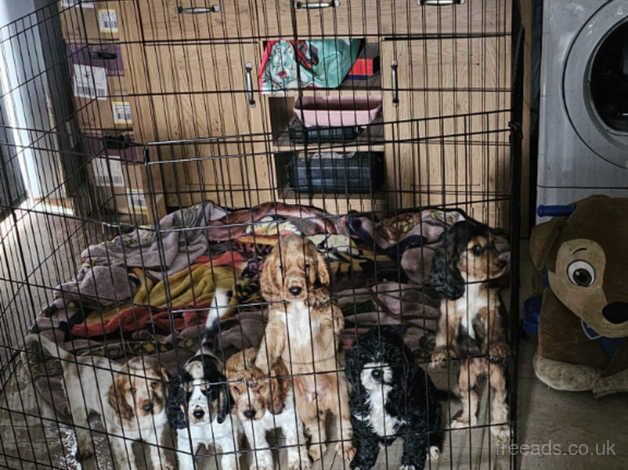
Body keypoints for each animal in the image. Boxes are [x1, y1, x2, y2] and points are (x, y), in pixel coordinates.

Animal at [27, 332, 172, 468]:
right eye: (132, 390)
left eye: (154, 384)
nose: (148, 407)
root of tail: (74, 359)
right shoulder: (121, 440)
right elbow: (127, 460)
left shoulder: (156, 431)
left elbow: (157, 453)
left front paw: (163, 466)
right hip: (78, 406)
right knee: (81, 430)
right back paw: (85, 449)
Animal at [254, 235, 354, 462]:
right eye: (282, 268)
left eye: (307, 266)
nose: (295, 290)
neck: (297, 306)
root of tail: (319, 398)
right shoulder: (276, 327)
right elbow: (266, 349)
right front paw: (258, 371)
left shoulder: (332, 322)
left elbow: (330, 306)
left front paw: (318, 294)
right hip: (304, 407)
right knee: (316, 426)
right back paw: (316, 450)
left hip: (341, 398)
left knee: (344, 423)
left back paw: (346, 448)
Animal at [346, 326, 444, 470]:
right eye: (363, 357)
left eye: (391, 358)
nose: (376, 372)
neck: (380, 392)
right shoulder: (361, 415)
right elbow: (365, 442)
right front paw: (361, 463)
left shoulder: (415, 418)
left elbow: (413, 442)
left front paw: (409, 464)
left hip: (434, 410)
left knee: (434, 430)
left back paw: (431, 447)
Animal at [426, 220, 510, 440]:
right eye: (477, 249)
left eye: (493, 243)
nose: (503, 263)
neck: (471, 284)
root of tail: (481, 369)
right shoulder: (448, 313)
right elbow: (443, 333)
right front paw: (440, 354)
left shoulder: (491, 309)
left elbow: (495, 328)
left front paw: (496, 346)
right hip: (464, 378)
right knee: (471, 397)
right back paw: (464, 421)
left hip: (498, 376)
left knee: (499, 400)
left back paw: (501, 427)